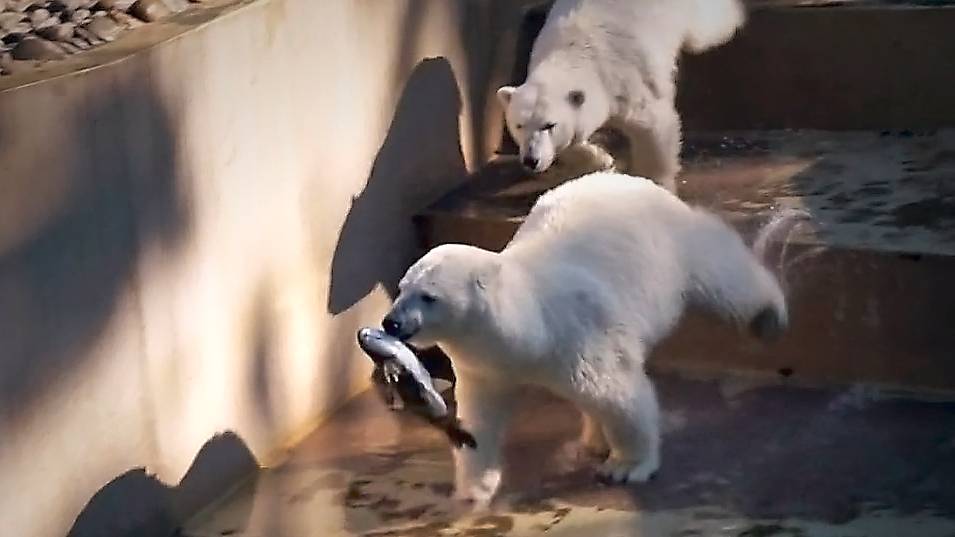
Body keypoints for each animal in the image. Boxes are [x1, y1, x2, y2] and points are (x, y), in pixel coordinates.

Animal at [382, 172, 798, 506]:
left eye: (428, 296)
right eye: (401, 288)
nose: (391, 323)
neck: (531, 325)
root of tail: (630, 179)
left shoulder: (579, 336)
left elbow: (618, 394)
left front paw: (626, 467)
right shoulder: (488, 367)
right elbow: (480, 417)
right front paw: (473, 487)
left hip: (674, 243)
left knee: (722, 273)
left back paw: (769, 316)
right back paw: (594, 439)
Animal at [497, 0, 746, 192]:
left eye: (549, 125)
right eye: (519, 125)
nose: (531, 160)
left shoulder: (627, 80)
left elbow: (654, 127)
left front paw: (658, 184)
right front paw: (604, 160)